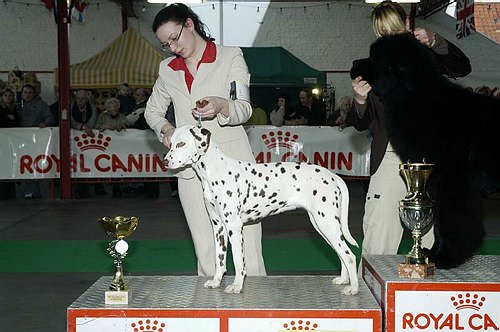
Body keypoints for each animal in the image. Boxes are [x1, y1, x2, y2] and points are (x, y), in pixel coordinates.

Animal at [166, 125, 358, 296]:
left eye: (182, 144)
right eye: (171, 143)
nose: (166, 160)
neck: (214, 171)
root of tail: (333, 176)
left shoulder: (233, 226)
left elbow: (238, 261)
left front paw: (237, 285)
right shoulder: (218, 227)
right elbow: (219, 259)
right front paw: (216, 281)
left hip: (326, 223)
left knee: (349, 256)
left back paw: (353, 288)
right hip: (323, 226)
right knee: (341, 254)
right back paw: (343, 279)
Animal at [352, 32, 500, 268]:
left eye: (374, 58)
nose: (354, 63)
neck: (414, 96)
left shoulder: (450, 182)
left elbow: (452, 220)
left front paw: (447, 257)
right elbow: (440, 222)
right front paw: (432, 253)